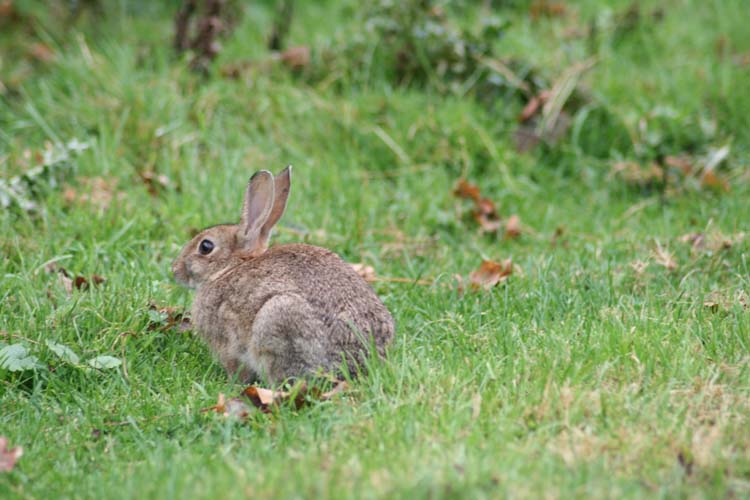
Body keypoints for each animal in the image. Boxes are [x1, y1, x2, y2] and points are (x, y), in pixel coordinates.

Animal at [173, 166, 396, 384]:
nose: (175, 270)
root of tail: (357, 364)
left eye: (206, 246)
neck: (229, 268)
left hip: (277, 319)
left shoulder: (228, 344)